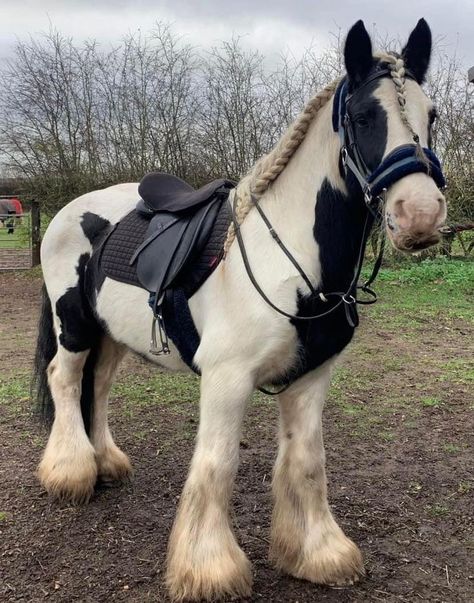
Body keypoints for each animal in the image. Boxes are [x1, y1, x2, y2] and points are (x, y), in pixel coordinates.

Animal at [35, 20, 446, 603]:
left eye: (431, 114)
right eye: (365, 115)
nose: (421, 215)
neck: (294, 260)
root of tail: (70, 211)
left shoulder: (310, 377)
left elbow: (306, 462)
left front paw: (317, 553)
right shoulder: (226, 378)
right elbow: (218, 463)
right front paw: (209, 570)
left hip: (111, 335)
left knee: (100, 386)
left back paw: (105, 463)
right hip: (74, 325)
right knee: (66, 380)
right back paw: (71, 474)